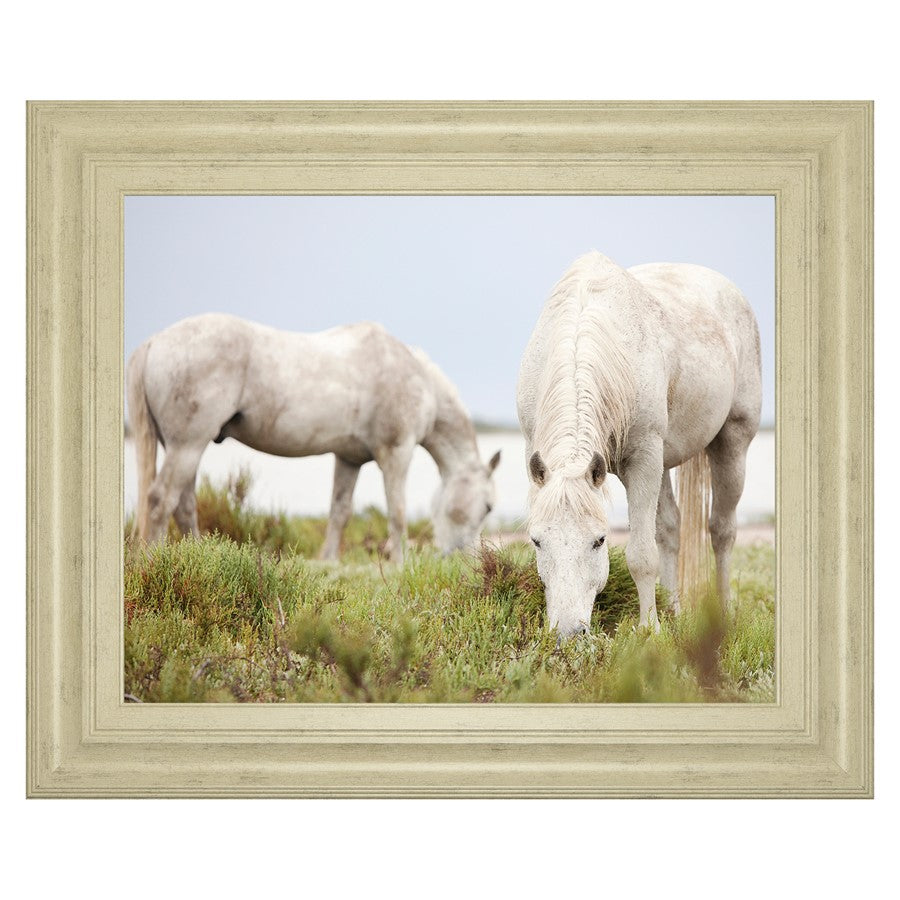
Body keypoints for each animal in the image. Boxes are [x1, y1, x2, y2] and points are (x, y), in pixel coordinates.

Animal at [127, 314, 501, 562]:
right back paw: (155, 562)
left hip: (182, 447)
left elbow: (340, 511)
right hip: (188, 445)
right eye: (487, 507)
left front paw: (329, 561)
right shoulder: (397, 452)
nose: (463, 558)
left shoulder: (349, 458)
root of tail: (153, 343)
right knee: (160, 500)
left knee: (183, 505)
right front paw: (400, 563)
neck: (418, 379)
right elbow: (397, 512)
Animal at [516, 251, 761, 639]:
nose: (568, 633)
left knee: (722, 530)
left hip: (731, 444)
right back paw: (673, 610)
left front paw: (649, 630)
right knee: (671, 529)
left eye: (600, 540)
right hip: (664, 464)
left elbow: (642, 555)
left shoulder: (643, 458)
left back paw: (721, 613)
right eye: (537, 541)